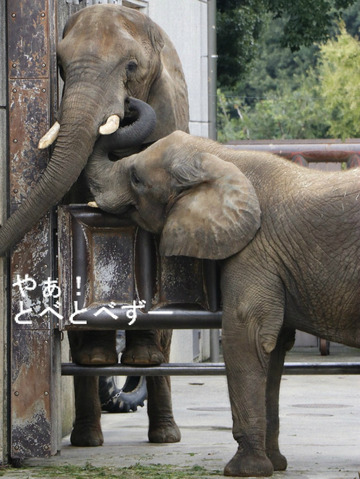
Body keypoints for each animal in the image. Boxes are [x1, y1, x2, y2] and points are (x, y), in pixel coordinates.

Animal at [1, 5, 188, 450]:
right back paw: (89, 428)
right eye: (60, 66)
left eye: (132, 67)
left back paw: (164, 431)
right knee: (85, 358)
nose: (128, 105)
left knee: (164, 342)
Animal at [87, 130, 360, 476]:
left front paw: (243, 471)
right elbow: (274, 348)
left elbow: (245, 337)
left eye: (136, 178)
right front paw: (275, 465)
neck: (220, 157)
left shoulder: (254, 249)